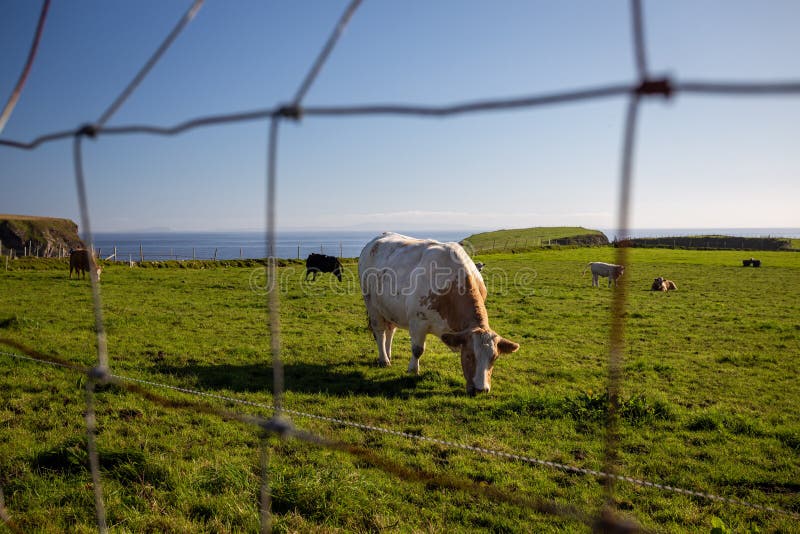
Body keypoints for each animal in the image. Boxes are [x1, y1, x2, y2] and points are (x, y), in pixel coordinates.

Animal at [360, 232, 520, 396]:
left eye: (494, 358)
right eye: (469, 355)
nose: (481, 389)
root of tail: (377, 239)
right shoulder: (417, 321)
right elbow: (418, 350)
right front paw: (413, 370)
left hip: (389, 308)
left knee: (390, 331)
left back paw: (388, 353)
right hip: (372, 305)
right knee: (380, 332)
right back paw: (384, 359)